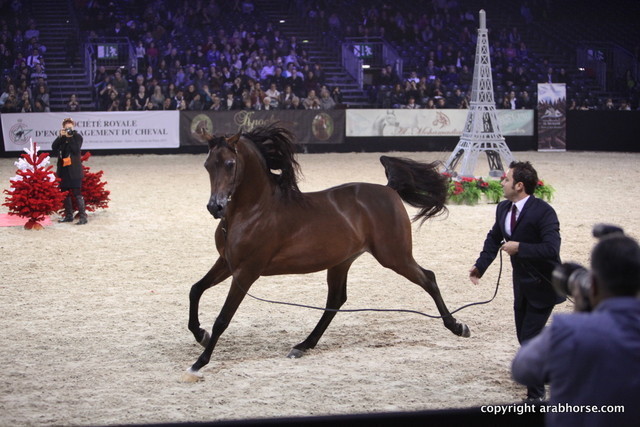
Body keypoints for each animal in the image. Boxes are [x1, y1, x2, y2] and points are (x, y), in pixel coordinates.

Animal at [183, 124, 470, 382]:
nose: (215, 207)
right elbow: (195, 289)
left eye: (230, 163)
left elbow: (222, 318)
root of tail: (389, 189)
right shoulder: (227, 262)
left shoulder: (247, 271)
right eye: (208, 165)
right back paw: (303, 345)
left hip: (394, 256)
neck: (254, 210)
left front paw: (199, 362)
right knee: (336, 300)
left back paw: (458, 327)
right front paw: (200, 335)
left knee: (428, 278)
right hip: (342, 261)